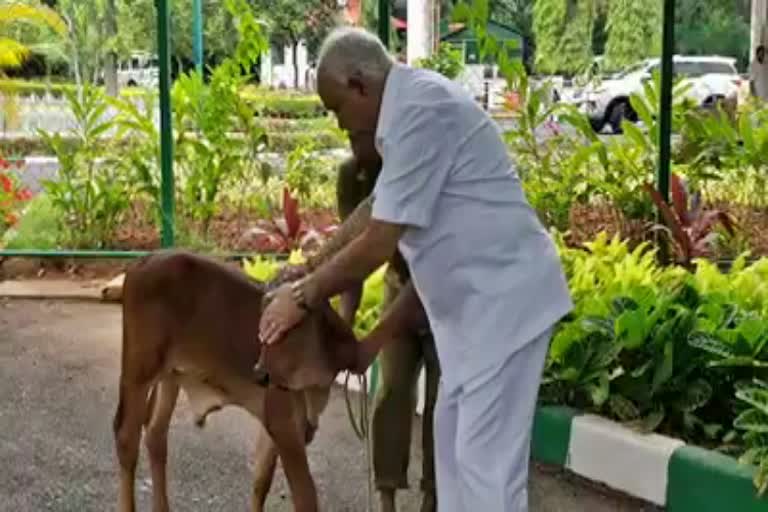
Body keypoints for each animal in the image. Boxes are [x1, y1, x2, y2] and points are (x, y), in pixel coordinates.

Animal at [113, 251, 360, 512]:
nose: (262, 373)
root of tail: (146, 260)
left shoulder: (278, 422)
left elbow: (261, 479)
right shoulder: (283, 423)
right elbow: (305, 496)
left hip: (170, 376)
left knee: (155, 433)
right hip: (138, 372)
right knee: (126, 438)